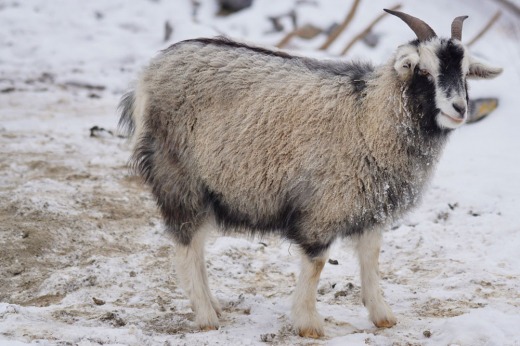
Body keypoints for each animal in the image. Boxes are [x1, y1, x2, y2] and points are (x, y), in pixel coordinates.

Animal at [118, 10, 500, 338]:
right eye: (423, 71)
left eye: (465, 72)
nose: (459, 108)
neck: (368, 115)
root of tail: (147, 75)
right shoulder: (324, 206)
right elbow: (316, 264)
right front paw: (309, 324)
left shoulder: (370, 205)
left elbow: (371, 259)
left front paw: (383, 316)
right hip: (180, 178)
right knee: (187, 246)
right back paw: (206, 316)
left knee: (194, 246)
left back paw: (213, 306)